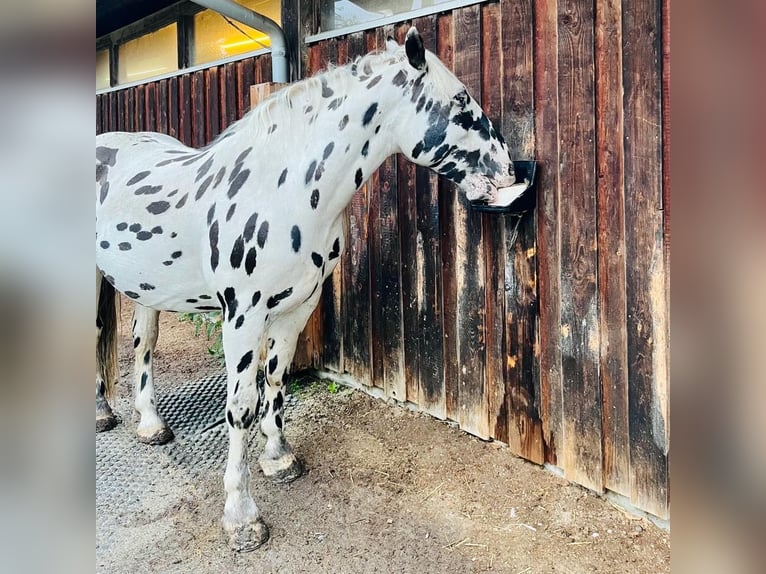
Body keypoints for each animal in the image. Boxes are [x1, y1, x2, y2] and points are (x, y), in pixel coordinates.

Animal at [96, 28, 524, 552]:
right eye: (461, 103)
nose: (508, 171)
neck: (284, 191)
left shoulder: (297, 308)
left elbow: (276, 379)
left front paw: (279, 457)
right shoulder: (242, 317)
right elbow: (241, 406)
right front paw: (241, 517)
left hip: (146, 290)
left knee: (143, 345)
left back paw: (150, 425)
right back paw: (102, 415)